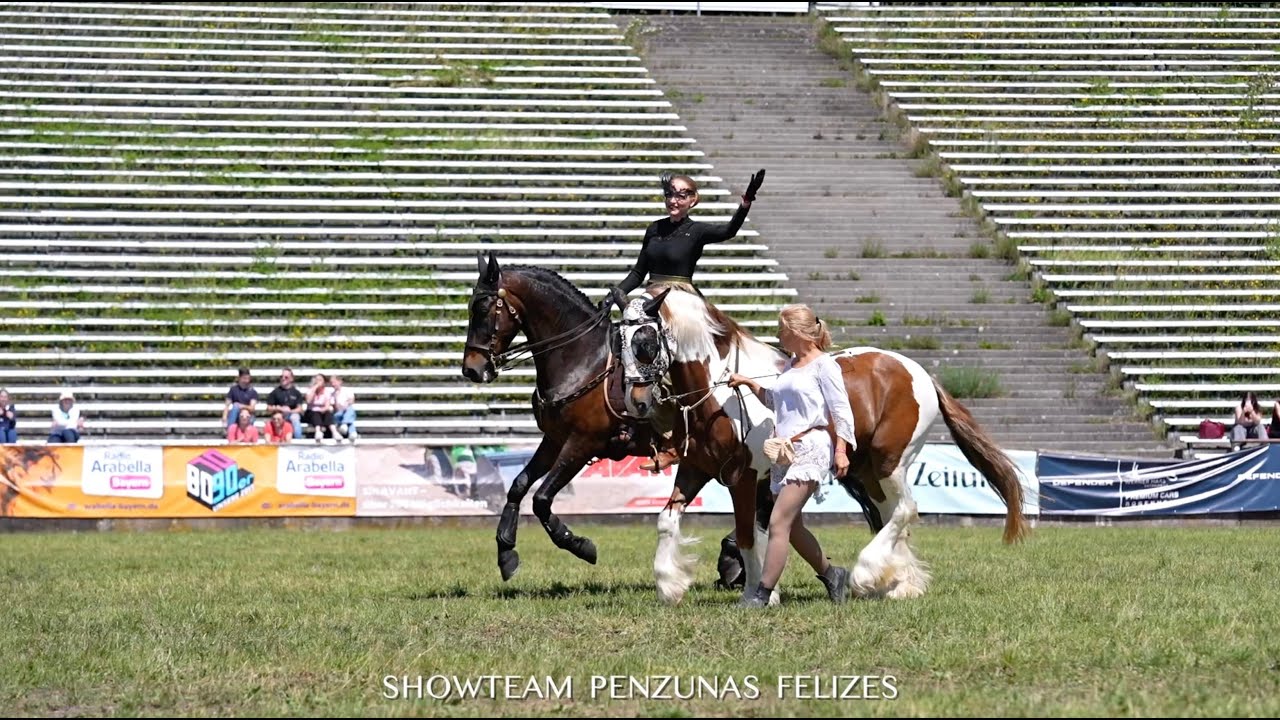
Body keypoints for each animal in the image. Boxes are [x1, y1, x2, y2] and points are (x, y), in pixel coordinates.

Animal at [623, 286, 1032, 605]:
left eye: (645, 342)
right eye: (619, 341)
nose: (637, 403)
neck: (719, 394)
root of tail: (921, 374)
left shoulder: (744, 477)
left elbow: (746, 535)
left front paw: (755, 593)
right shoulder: (697, 469)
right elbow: (666, 520)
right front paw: (670, 585)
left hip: (890, 463)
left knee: (905, 510)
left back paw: (866, 576)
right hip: (869, 473)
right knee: (893, 516)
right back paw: (898, 586)